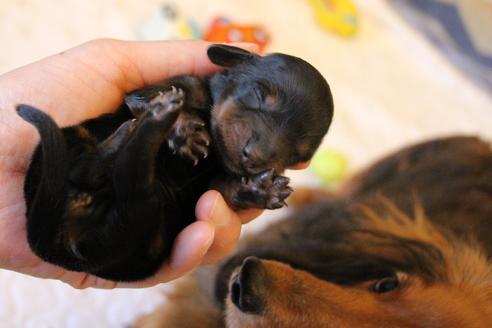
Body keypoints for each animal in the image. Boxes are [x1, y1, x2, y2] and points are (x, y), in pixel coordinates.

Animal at [16, 44, 334, 282]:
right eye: (258, 95)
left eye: (297, 153)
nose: (254, 155)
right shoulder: (167, 85)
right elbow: (146, 98)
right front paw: (184, 130)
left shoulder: (210, 185)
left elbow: (222, 188)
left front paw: (259, 191)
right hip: (68, 142)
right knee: (87, 166)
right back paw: (147, 123)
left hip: (149, 240)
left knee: (125, 177)